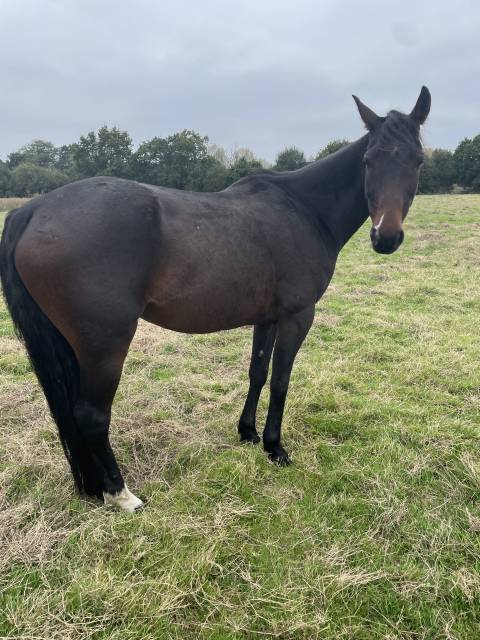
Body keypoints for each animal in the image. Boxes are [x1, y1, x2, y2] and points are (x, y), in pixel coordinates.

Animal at [0, 87, 431, 511]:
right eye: (369, 160)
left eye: (418, 160)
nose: (386, 237)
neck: (303, 208)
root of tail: (34, 208)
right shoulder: (297, 316)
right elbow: (281, 380)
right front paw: (275, 448)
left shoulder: (267, 317)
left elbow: (258, 372)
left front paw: (248, 433)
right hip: (104, 345)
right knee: (91, 416)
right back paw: (122, 495)